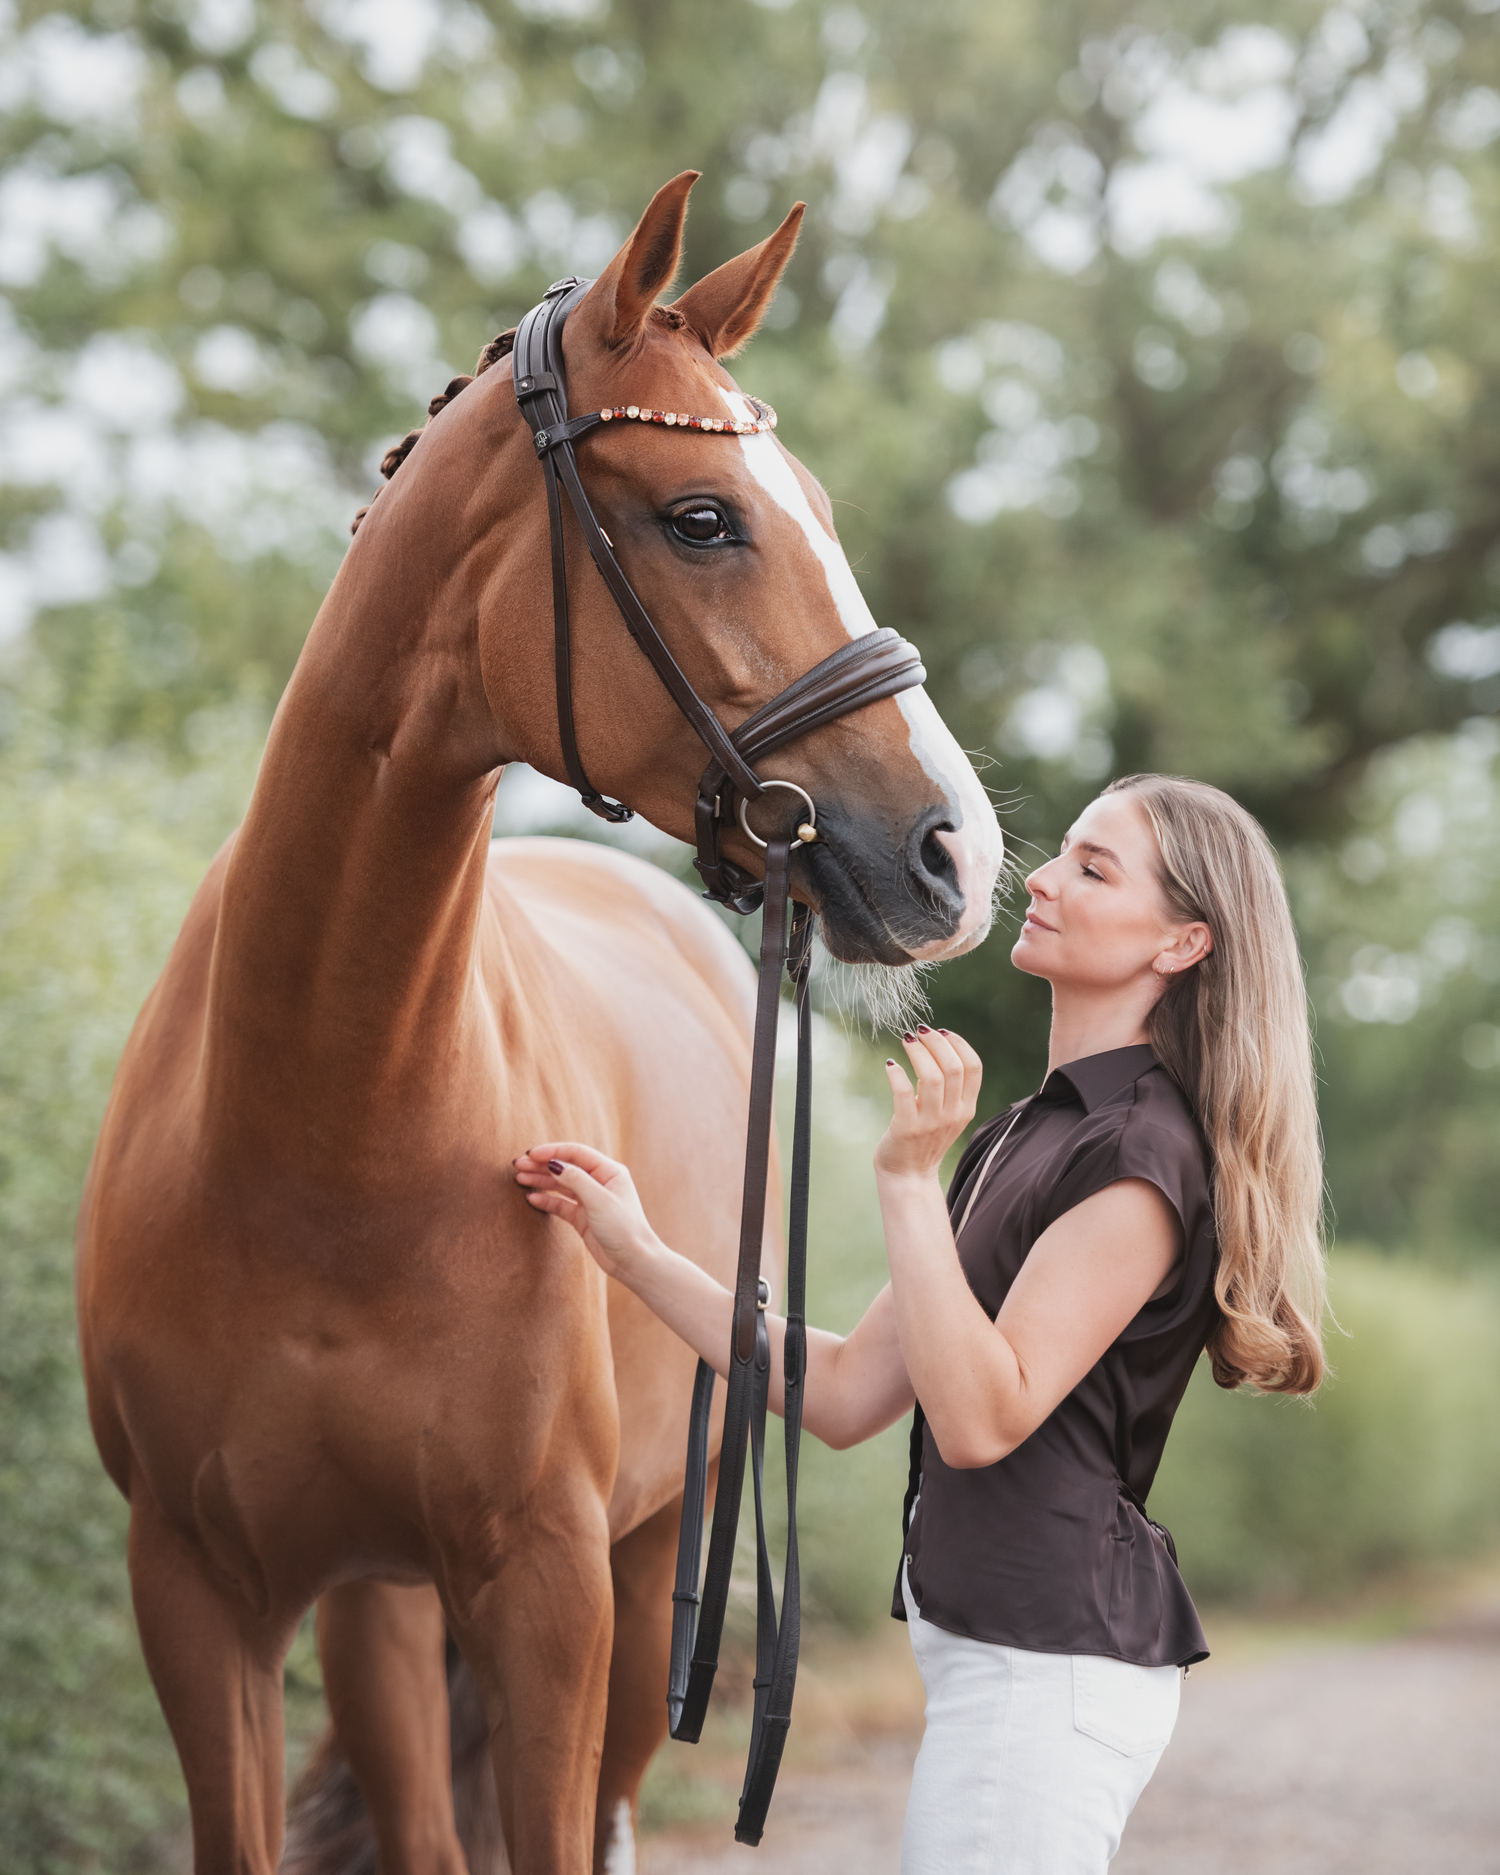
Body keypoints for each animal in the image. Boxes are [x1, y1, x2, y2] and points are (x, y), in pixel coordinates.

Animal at [75, 170, 1003, 1874]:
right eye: (703, 518)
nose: (953, 856)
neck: (326, 1122)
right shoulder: (195, 1590)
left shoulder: (552, 1585)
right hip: (380, 1606)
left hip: (650, 1582)